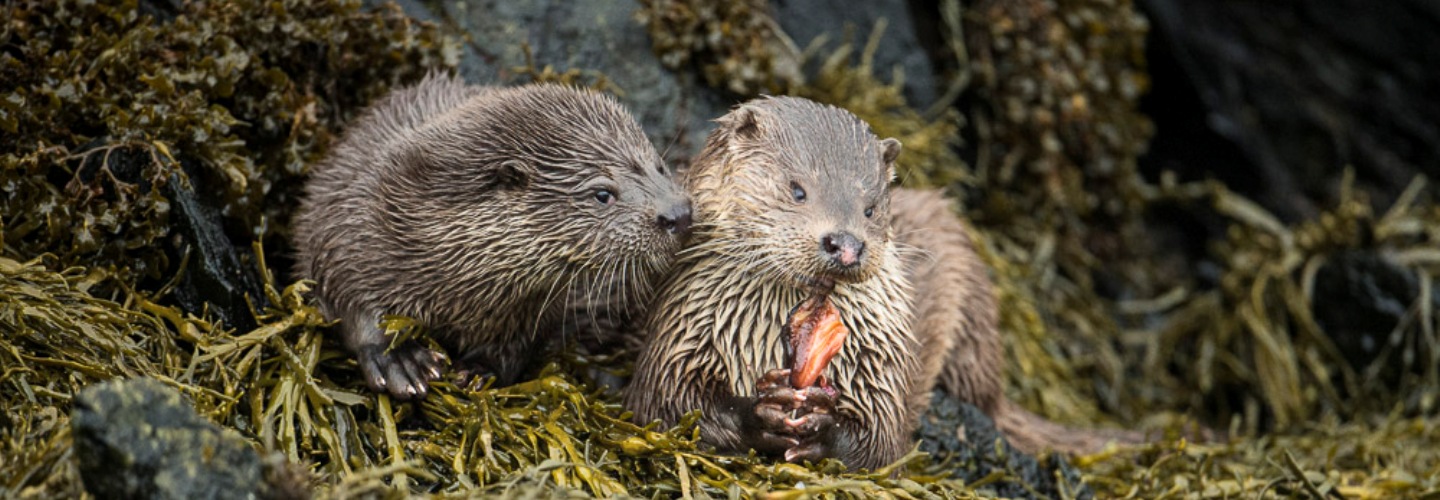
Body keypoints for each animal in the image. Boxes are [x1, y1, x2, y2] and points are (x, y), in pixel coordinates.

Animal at [292, 74, 691, 400]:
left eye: (659, 166)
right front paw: (399, 359)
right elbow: (345, 293)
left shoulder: (530, 310)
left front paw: (480, 369)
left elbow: (516, 346)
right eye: (603, 194)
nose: (678, 213)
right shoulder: (347, 223)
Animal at [624, 97, 1140, 469]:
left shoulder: (880, 360)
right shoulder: (681, 334)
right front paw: (760, 414)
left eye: (870, 207)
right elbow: (667, 407)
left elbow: (883, 442)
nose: (846, 244)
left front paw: (823, 424)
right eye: (797, 190)